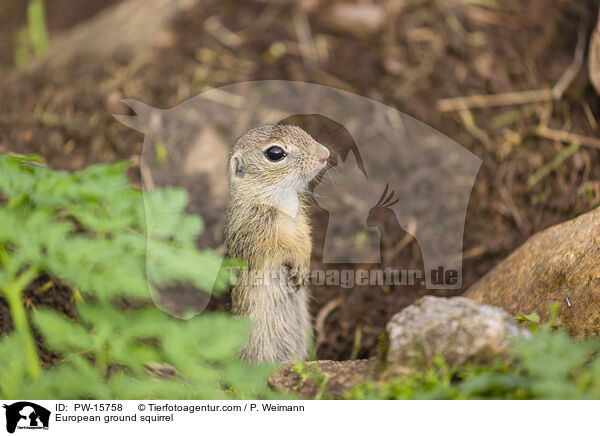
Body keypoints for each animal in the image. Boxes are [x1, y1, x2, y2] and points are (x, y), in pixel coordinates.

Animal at [225, 123, 330, 364]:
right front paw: (297, 266)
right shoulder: (259, 233)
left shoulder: (301, 221)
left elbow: (306, 239)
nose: (325, 154)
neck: (282, 200)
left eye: (299, 129)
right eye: (275, 153)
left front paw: (305, 265)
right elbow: (281, 250)